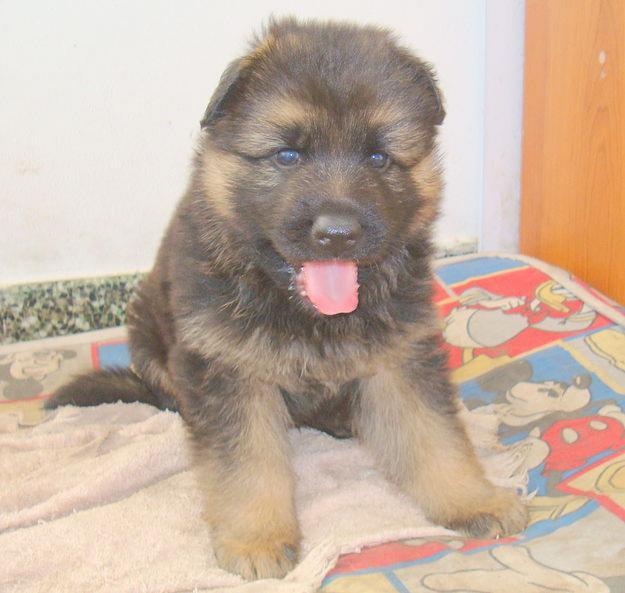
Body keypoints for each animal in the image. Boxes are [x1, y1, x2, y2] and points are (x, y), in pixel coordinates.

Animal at [48, 17, 528, 580]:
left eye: (378, 156)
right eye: (287, 155)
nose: (337, 233)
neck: (305, 311)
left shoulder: (401, 357)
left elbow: (435, 438)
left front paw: (473, 500)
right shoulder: (228, 371)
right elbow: (249, 465)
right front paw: (256, 537)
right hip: (149, 328)